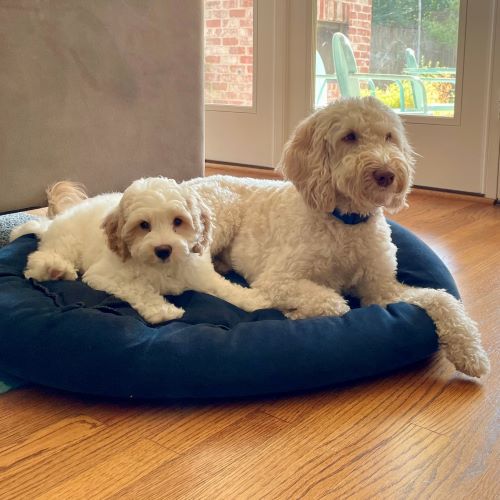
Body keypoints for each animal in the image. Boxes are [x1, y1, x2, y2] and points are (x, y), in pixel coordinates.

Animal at [10, 178, 270, 322]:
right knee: (38, 259)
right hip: (67, 241)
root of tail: (52, 222)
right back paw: (54, 269)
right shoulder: (104, 275)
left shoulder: (199, 273)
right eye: (144, 225)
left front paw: (252, 298)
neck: (162, 267)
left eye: (178, 221)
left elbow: (222, 286)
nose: (164, 249)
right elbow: (139, 289)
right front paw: (161, 310)